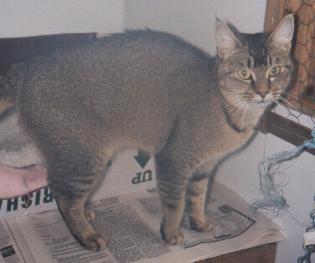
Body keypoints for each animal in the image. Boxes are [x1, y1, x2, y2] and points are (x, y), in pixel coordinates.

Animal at [3, 14, 296, 252]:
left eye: (275, 70)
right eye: (244, 73)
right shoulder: (174, 160)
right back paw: (86, 235)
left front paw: (199, 223)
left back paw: (87, 213)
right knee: (63, 195)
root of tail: (28, 67)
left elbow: (197, 198)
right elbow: (176, 203)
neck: (229, 108)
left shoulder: (204, 168)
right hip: (85, 155)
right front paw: (171, 233)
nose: (264, 92)